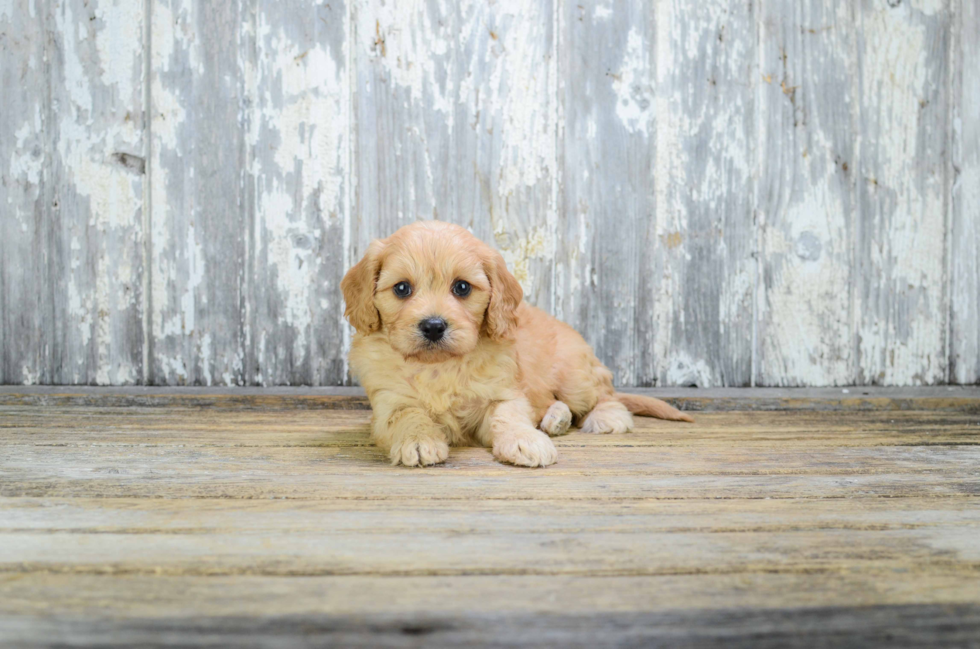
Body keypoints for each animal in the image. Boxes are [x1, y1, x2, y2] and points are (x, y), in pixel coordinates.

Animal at [340, 219, 692, 466]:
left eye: (462, 287)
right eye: (402, 289)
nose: (434, 326)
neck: (440, 366)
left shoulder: (503, 392)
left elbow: (508, 416)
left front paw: (525, 440)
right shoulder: (389, 402)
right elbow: (408, 416)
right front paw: (418, 440)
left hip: (575, 375)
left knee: (605, 394)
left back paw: (604, 417)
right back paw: (556, 419)